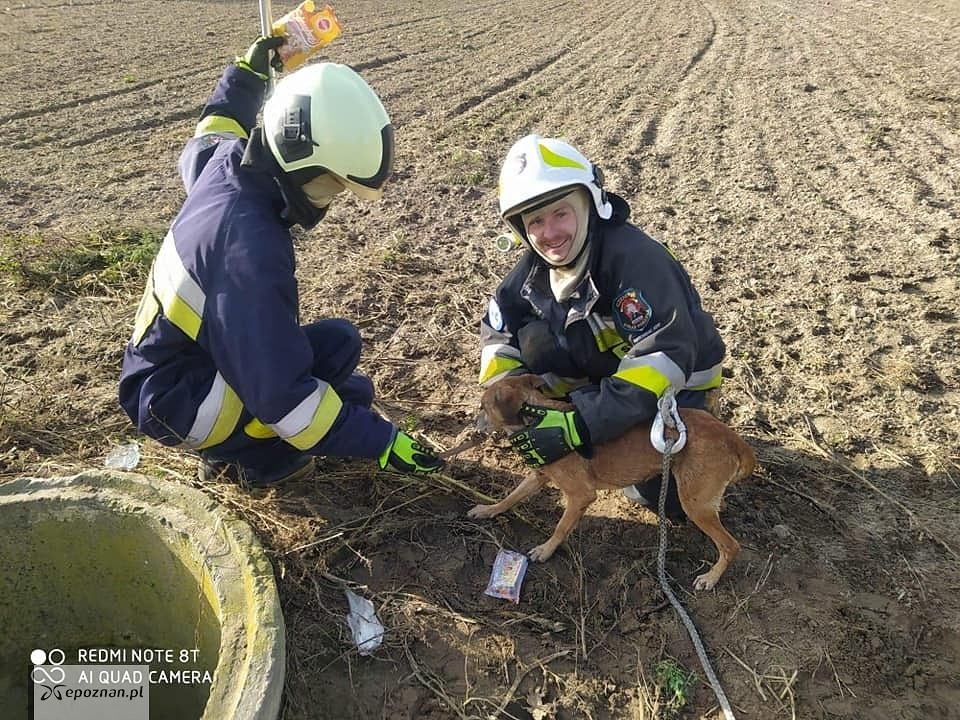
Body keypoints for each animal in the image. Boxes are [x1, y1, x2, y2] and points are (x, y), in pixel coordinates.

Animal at [466, 374, 756, 588]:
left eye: (483, 407)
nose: (473, 423)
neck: (540, 420)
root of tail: (734, 440)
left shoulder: (580, 496)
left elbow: (561, 527)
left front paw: (546, 550)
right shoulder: (539, 476)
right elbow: (511, 497)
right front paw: (488, 510)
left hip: (694, 504)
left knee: (731, 545)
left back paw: (710, 578)